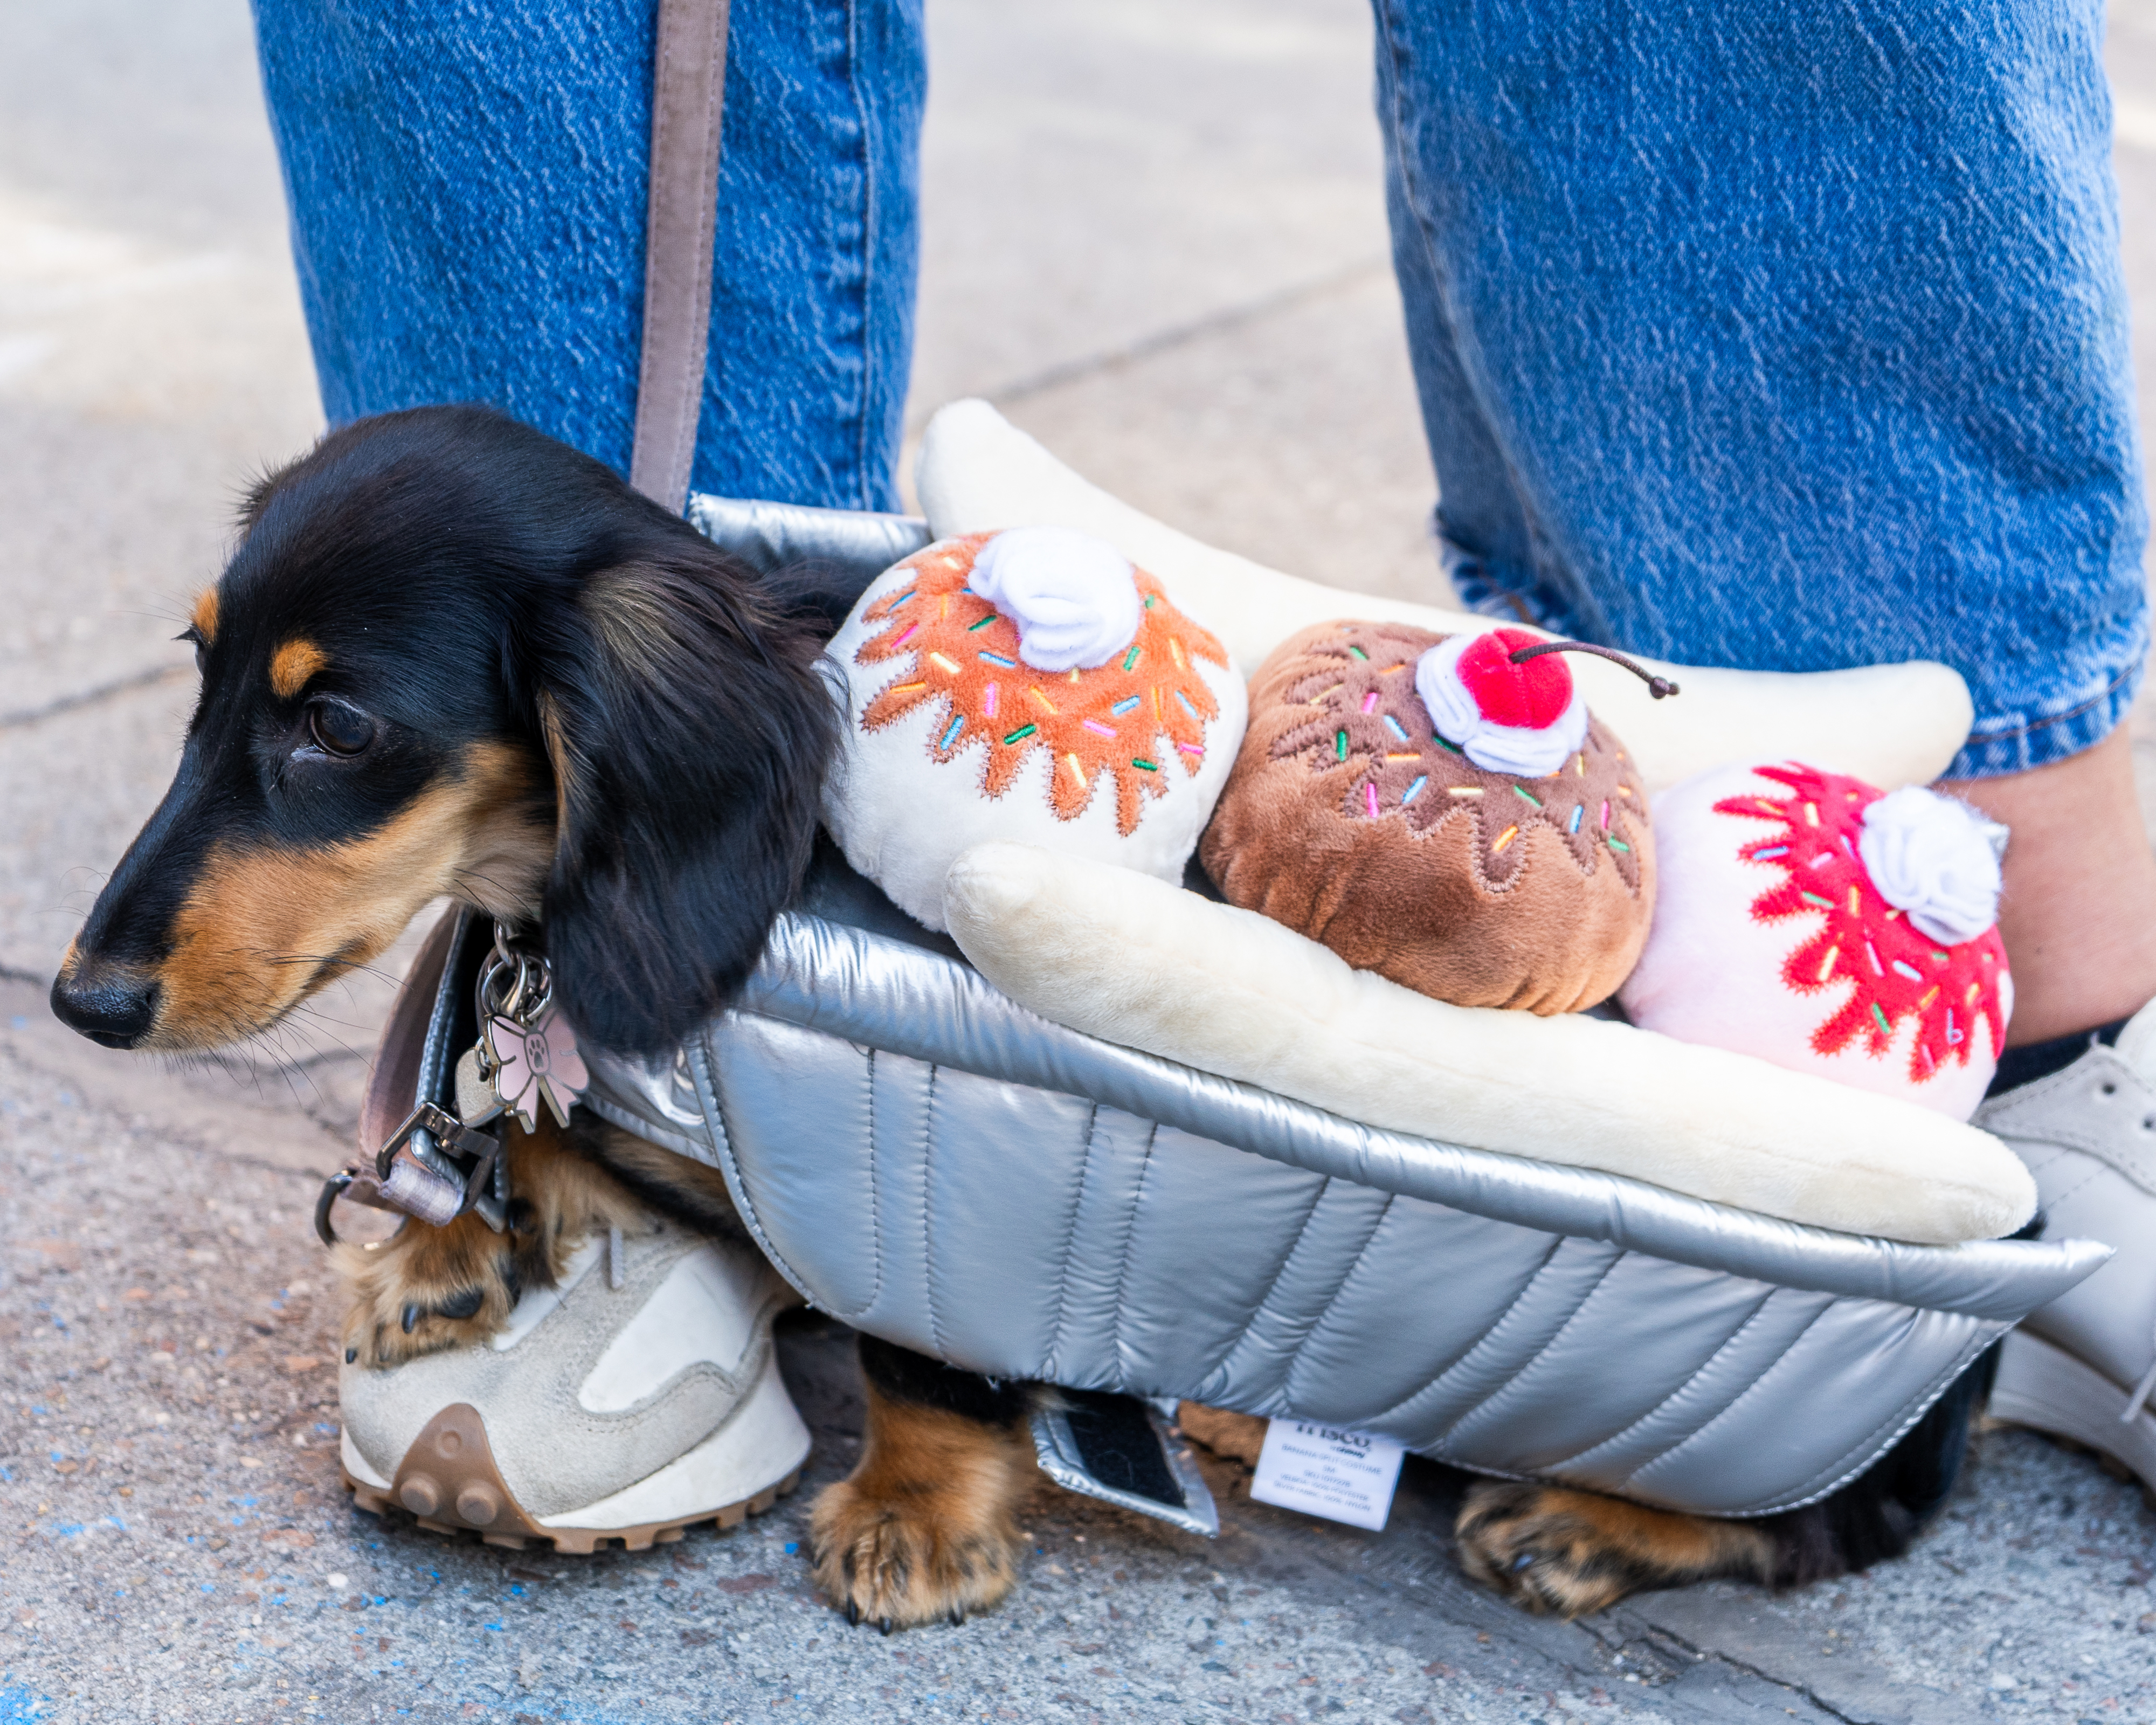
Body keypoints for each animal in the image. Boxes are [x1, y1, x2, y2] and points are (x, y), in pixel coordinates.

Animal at [54, 412, 1984, 1622]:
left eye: (339, 728)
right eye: (201, 677)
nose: (80, 1000)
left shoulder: (936, 1159)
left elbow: (930, 1338)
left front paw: (922, 1508)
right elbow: (542, 1124)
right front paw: (441, 1241)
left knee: (1850, 1516)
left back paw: (1583, 1523)